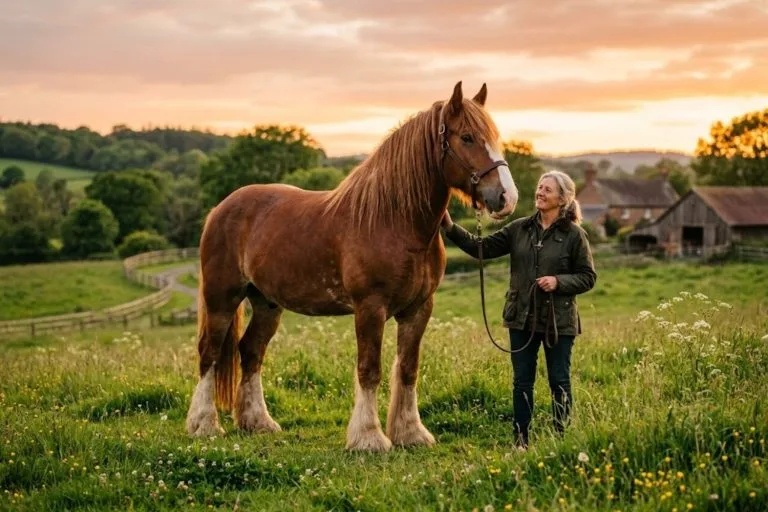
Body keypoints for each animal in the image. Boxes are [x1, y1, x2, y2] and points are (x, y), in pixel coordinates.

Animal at [185, 81, 519, 451]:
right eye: (467, 138)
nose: (506, 197)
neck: (393, 220)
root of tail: (220, 209)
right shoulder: (370, 307)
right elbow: (369, 370)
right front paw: (369, 438)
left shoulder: (419, 308)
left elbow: (408, 368)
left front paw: (410, 433)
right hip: (222, 298)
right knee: (210, 353)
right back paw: (204, 425)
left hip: (267, 303)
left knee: (251, 351)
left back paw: (258, 423)